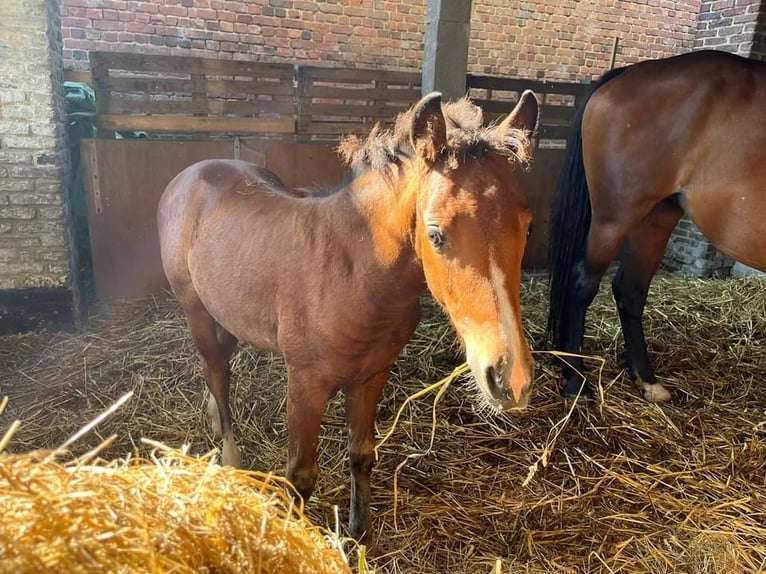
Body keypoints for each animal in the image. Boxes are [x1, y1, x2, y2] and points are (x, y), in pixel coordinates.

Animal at [158, 92, 540, 544]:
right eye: (436, 234)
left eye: (528, 227)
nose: (511, 378)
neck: (353, 272)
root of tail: (190, 174)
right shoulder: (305, 383)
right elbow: (300, 478)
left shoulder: (373, 375)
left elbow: (362, 454)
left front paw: (359, 533)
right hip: (195, 307)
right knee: (216, 369)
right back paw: (229, 455)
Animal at [548, 50, 764, 404]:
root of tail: (627, 74)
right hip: (614, 218)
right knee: (582, 285)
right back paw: (575, 380)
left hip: (656, 217)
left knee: (630, 289)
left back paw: (646, 380)